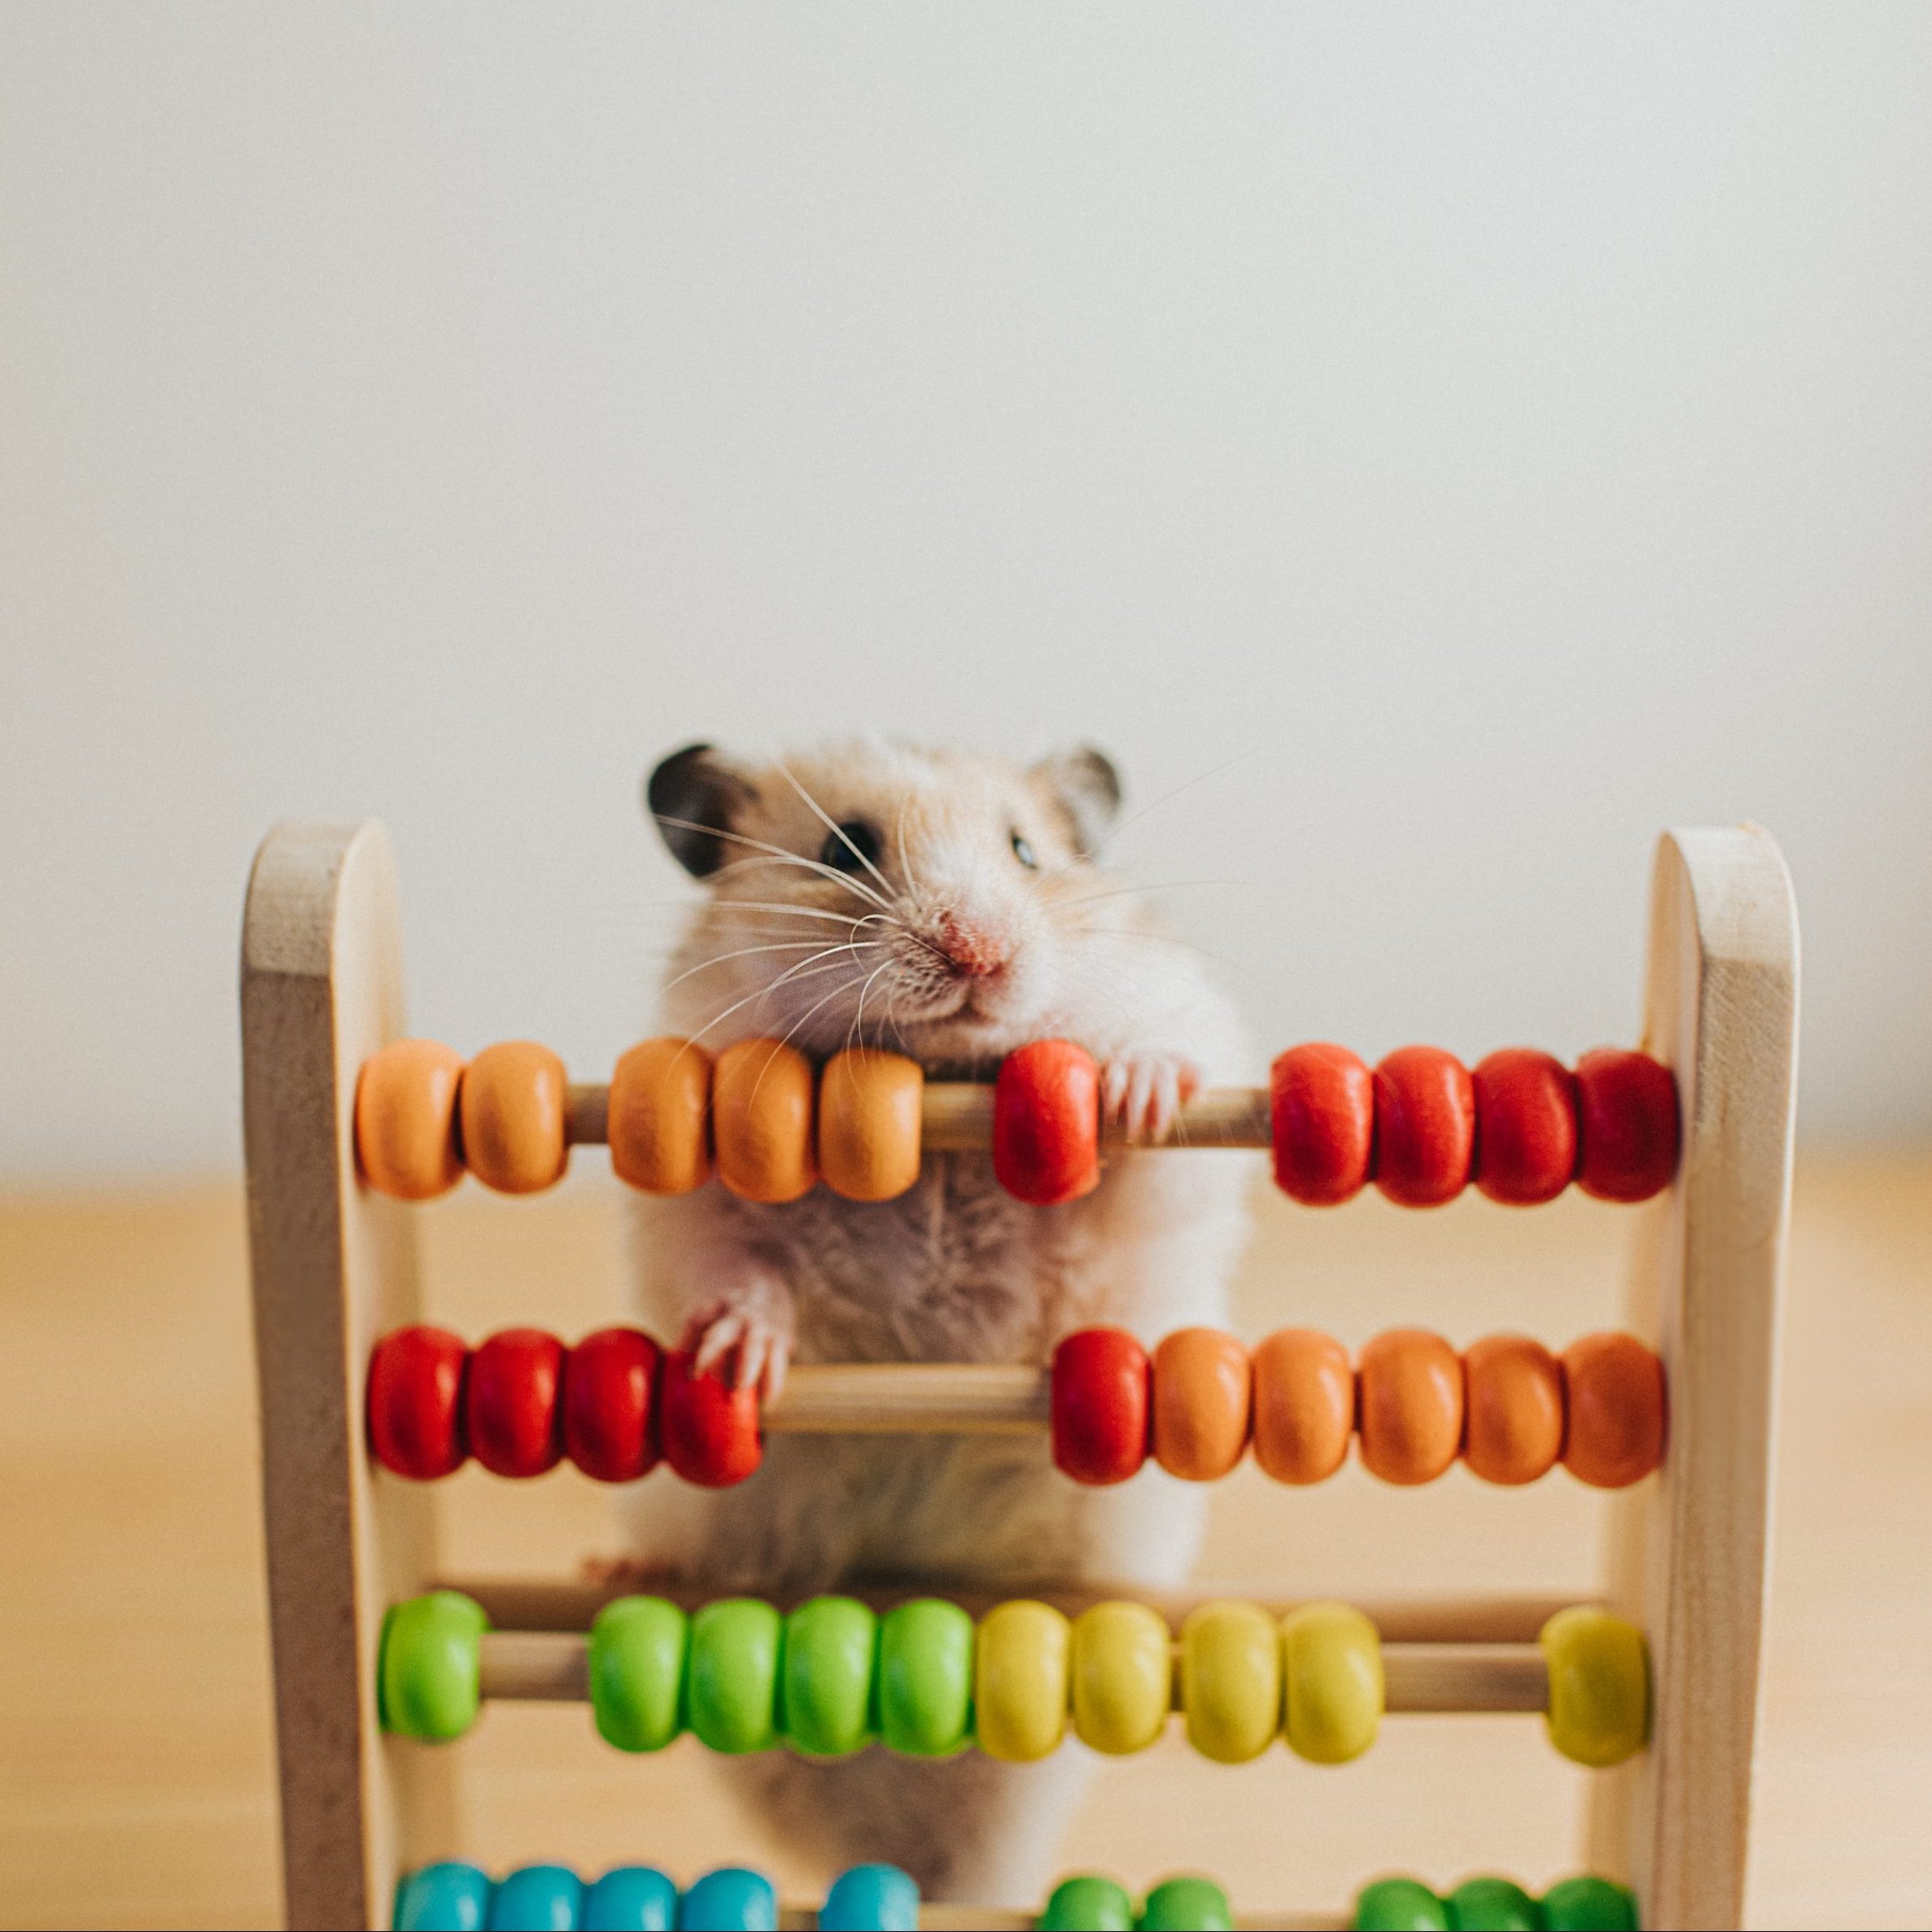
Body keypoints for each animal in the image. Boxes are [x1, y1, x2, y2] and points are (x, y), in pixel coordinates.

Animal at [624, 737, 1254, 1906]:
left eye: (1027, 852)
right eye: (845, 848)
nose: (981, 951)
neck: (934, 1083)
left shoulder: (1184, 1101)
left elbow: (1159, 1127)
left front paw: (1137, 1087)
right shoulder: (689, 1179)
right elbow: (735, 1268)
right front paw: (737, 1356)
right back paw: (628, 1575)